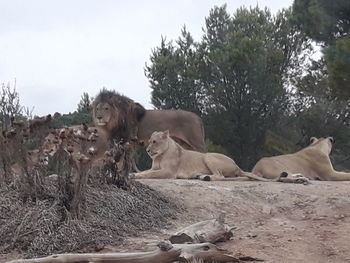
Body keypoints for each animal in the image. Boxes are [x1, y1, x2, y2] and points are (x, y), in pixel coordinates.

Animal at [134, 130, 268, 182]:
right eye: (149, 141)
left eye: (154, 142)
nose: (147, 150)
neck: (160, 156)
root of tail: (237, 166)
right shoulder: (154, 168)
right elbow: (147, 171)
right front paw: (134, 174)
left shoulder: (169, 172)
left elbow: (151, 174)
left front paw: (138, 176)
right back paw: (199, 176)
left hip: (208, 156)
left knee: (220, 176)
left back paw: (205, 177)